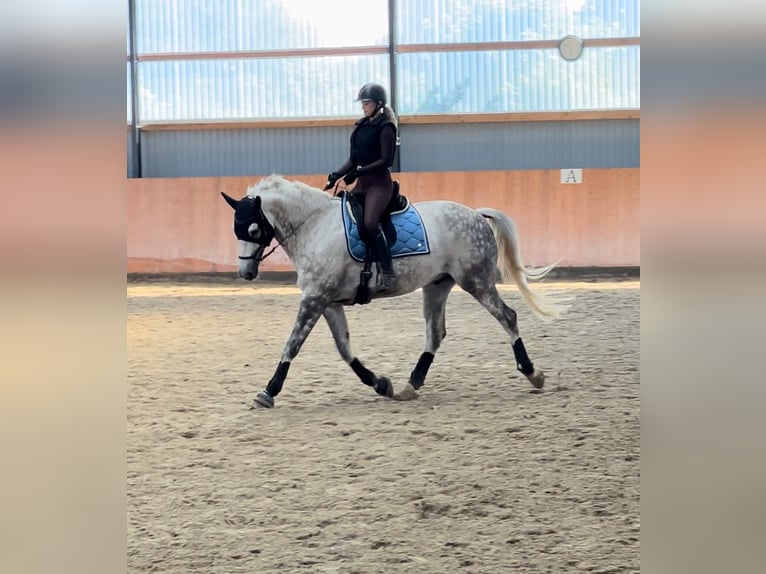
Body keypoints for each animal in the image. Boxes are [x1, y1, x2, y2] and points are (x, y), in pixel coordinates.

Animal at [219, 176, 568, 410]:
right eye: (236, 230)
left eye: (253, 229)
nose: (245, 273)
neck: (313, 226)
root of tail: (475, 213)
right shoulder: (327, 301)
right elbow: (344, 349)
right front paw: (380, 384)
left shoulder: (315, 299)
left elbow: (292, 344)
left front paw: (268, 391)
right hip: (437, 284)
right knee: (435, 333)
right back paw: (410, 385)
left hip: (476, 281)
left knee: (507, 316)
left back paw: (533, 373)